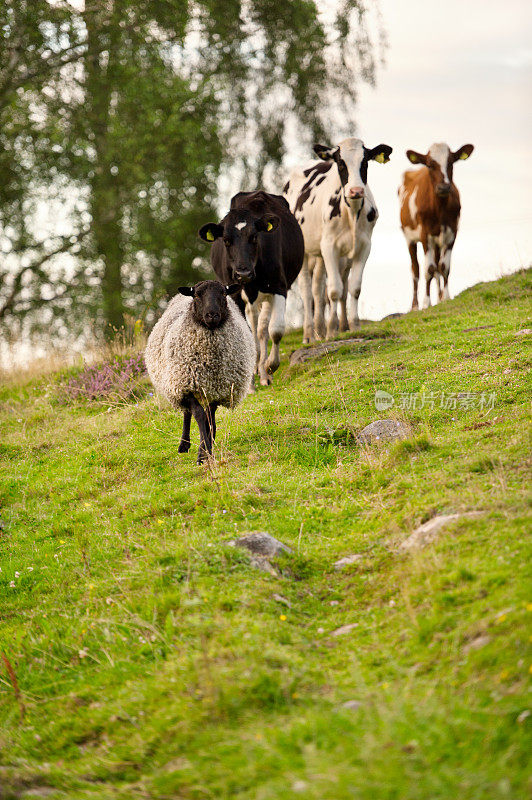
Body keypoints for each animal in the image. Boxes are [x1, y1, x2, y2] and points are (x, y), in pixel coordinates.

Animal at [144, 282, 255, 466]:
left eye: (223, 293)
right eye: (196, 295)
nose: (212, 315)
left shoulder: (219, 389)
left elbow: (210, 418)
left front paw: (206, 448)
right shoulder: (186, 387)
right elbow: (199, 416)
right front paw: (203, 454)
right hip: (179, 384)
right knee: (187, 413)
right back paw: (184, 445)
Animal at [198, 191, 304, 384]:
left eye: (254, 237)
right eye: (226, 240)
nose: (243, 273)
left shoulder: (279, 287)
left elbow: (276, 329)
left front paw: (270, 366)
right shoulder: (233, 295)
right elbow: (247, 334)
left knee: (261, 329)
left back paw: (263, 371)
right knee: (255, 329)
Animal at [284, 139, 392, 340]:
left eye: (365, 163)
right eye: (341, 164)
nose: (356, 190)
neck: (352, 212)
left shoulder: (364, 246)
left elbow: (353, 288)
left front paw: (353, 326)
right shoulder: (329, 247)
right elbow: (334, 290)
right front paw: (332, 330)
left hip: (319, 254)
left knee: (318, 288)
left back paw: (319, 329)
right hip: (304, 252)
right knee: (307, 291)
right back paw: (309, 334)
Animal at [400, 142, 474, 308]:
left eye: (451, 162)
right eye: (430, 165)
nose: (443, 187)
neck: (440, 208)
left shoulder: (452, 232)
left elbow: (444, 267)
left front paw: (445, 297)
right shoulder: (425, 235)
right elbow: (429, 269)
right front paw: (426, 303)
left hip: (438, 242)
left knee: (437, 267)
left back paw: (438, 297)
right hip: (410, 239)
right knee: (415, 270)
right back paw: (415, 306)